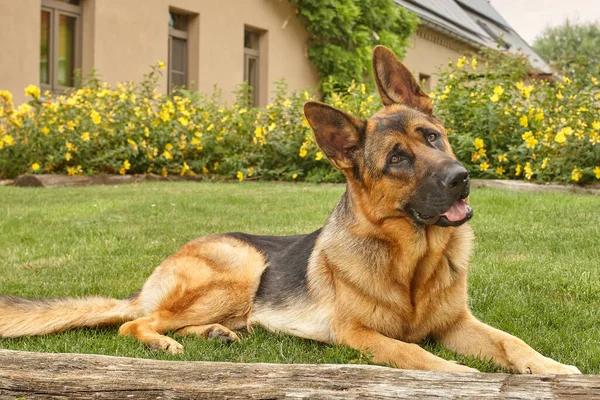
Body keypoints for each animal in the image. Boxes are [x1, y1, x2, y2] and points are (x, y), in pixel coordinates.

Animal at [0, 47, 580, 376]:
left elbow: (511, 340)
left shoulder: (459, 323)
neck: (412, 261)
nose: (460, 179)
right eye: (397, 159)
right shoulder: (359, 336)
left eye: (432, 137)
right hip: (241, 269)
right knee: (132, 324)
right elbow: (412, 354)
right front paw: (458, 376)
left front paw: (549, 367)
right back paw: (167, 342)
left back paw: (213, 335)